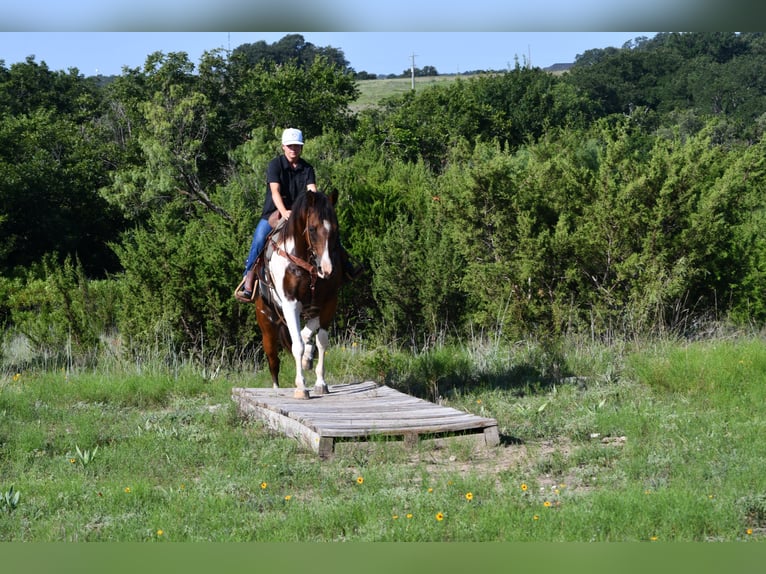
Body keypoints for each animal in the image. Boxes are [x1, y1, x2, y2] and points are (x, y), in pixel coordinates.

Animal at [252, 189, 343, 399]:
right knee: (273, 360)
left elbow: (321, 341)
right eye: (312, 229)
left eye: (335, 229)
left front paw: (320, 382)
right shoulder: (291, 303)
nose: (327, 270)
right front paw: (301, 387)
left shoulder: (328, 303)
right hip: (267, 324)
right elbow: (298, 345)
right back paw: (277, 389)